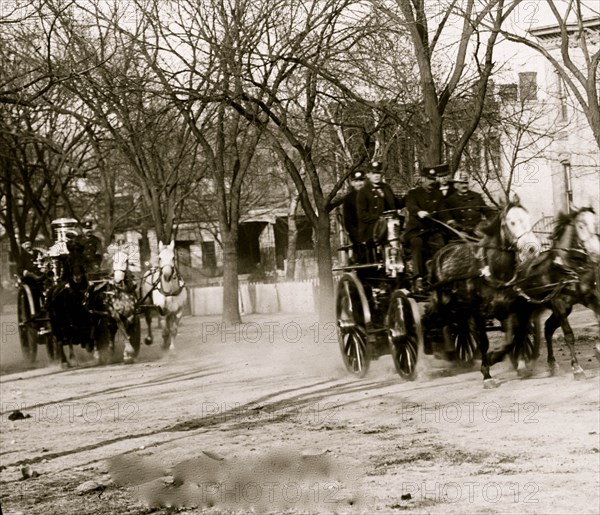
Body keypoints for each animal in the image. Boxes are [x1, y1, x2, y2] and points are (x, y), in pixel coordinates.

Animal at [428, 198, 540, 388]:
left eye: (528, 218)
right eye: (512, 222)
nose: (532, 248)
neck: (493, 271)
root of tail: (441, 252)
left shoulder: (508, 309)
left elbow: (513, 338)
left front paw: (502, 359)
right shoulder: (478, 314)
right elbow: (484, 343)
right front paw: (487, 374)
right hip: (444, 302)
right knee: (443, 323)